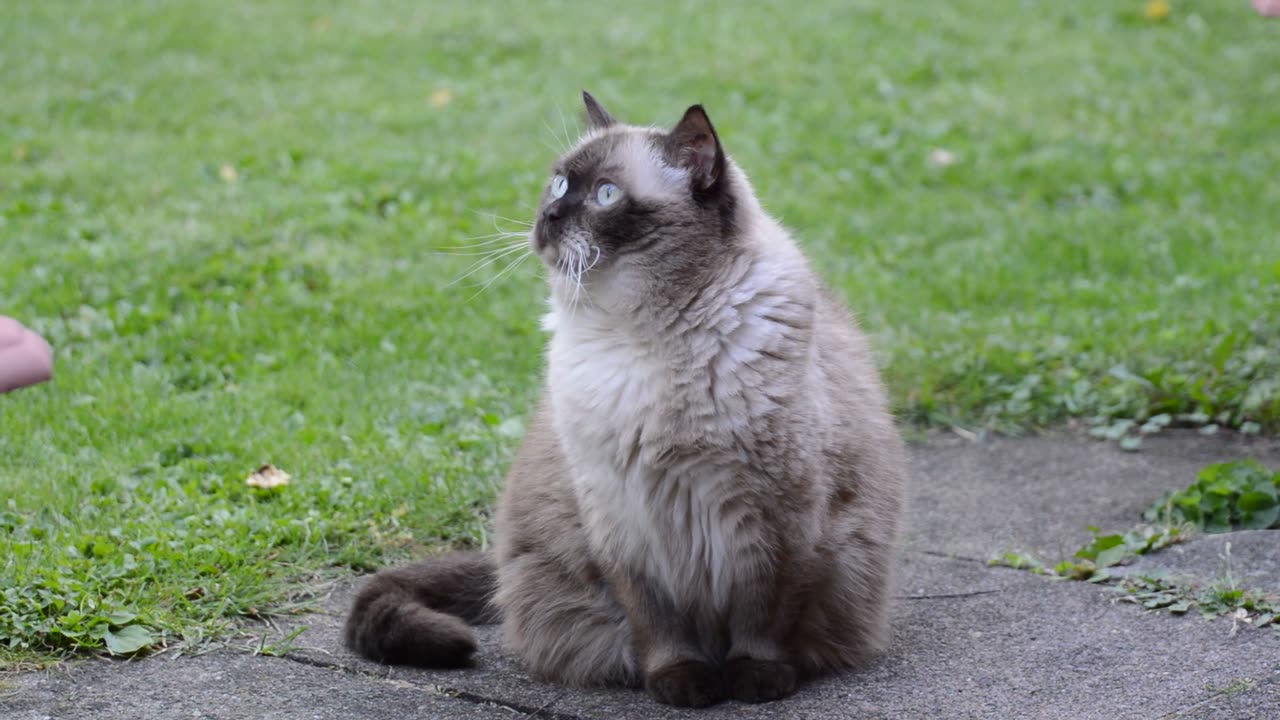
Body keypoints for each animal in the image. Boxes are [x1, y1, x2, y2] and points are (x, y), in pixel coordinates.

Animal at [348, 90, 911, 707]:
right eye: (559, 185)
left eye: (606, 195)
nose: (547, 219)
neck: (639, 337)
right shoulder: (624, 523)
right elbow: (659, 626)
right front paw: (682, 685)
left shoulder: (781, 517)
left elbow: (763, 617)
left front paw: (756, 682)